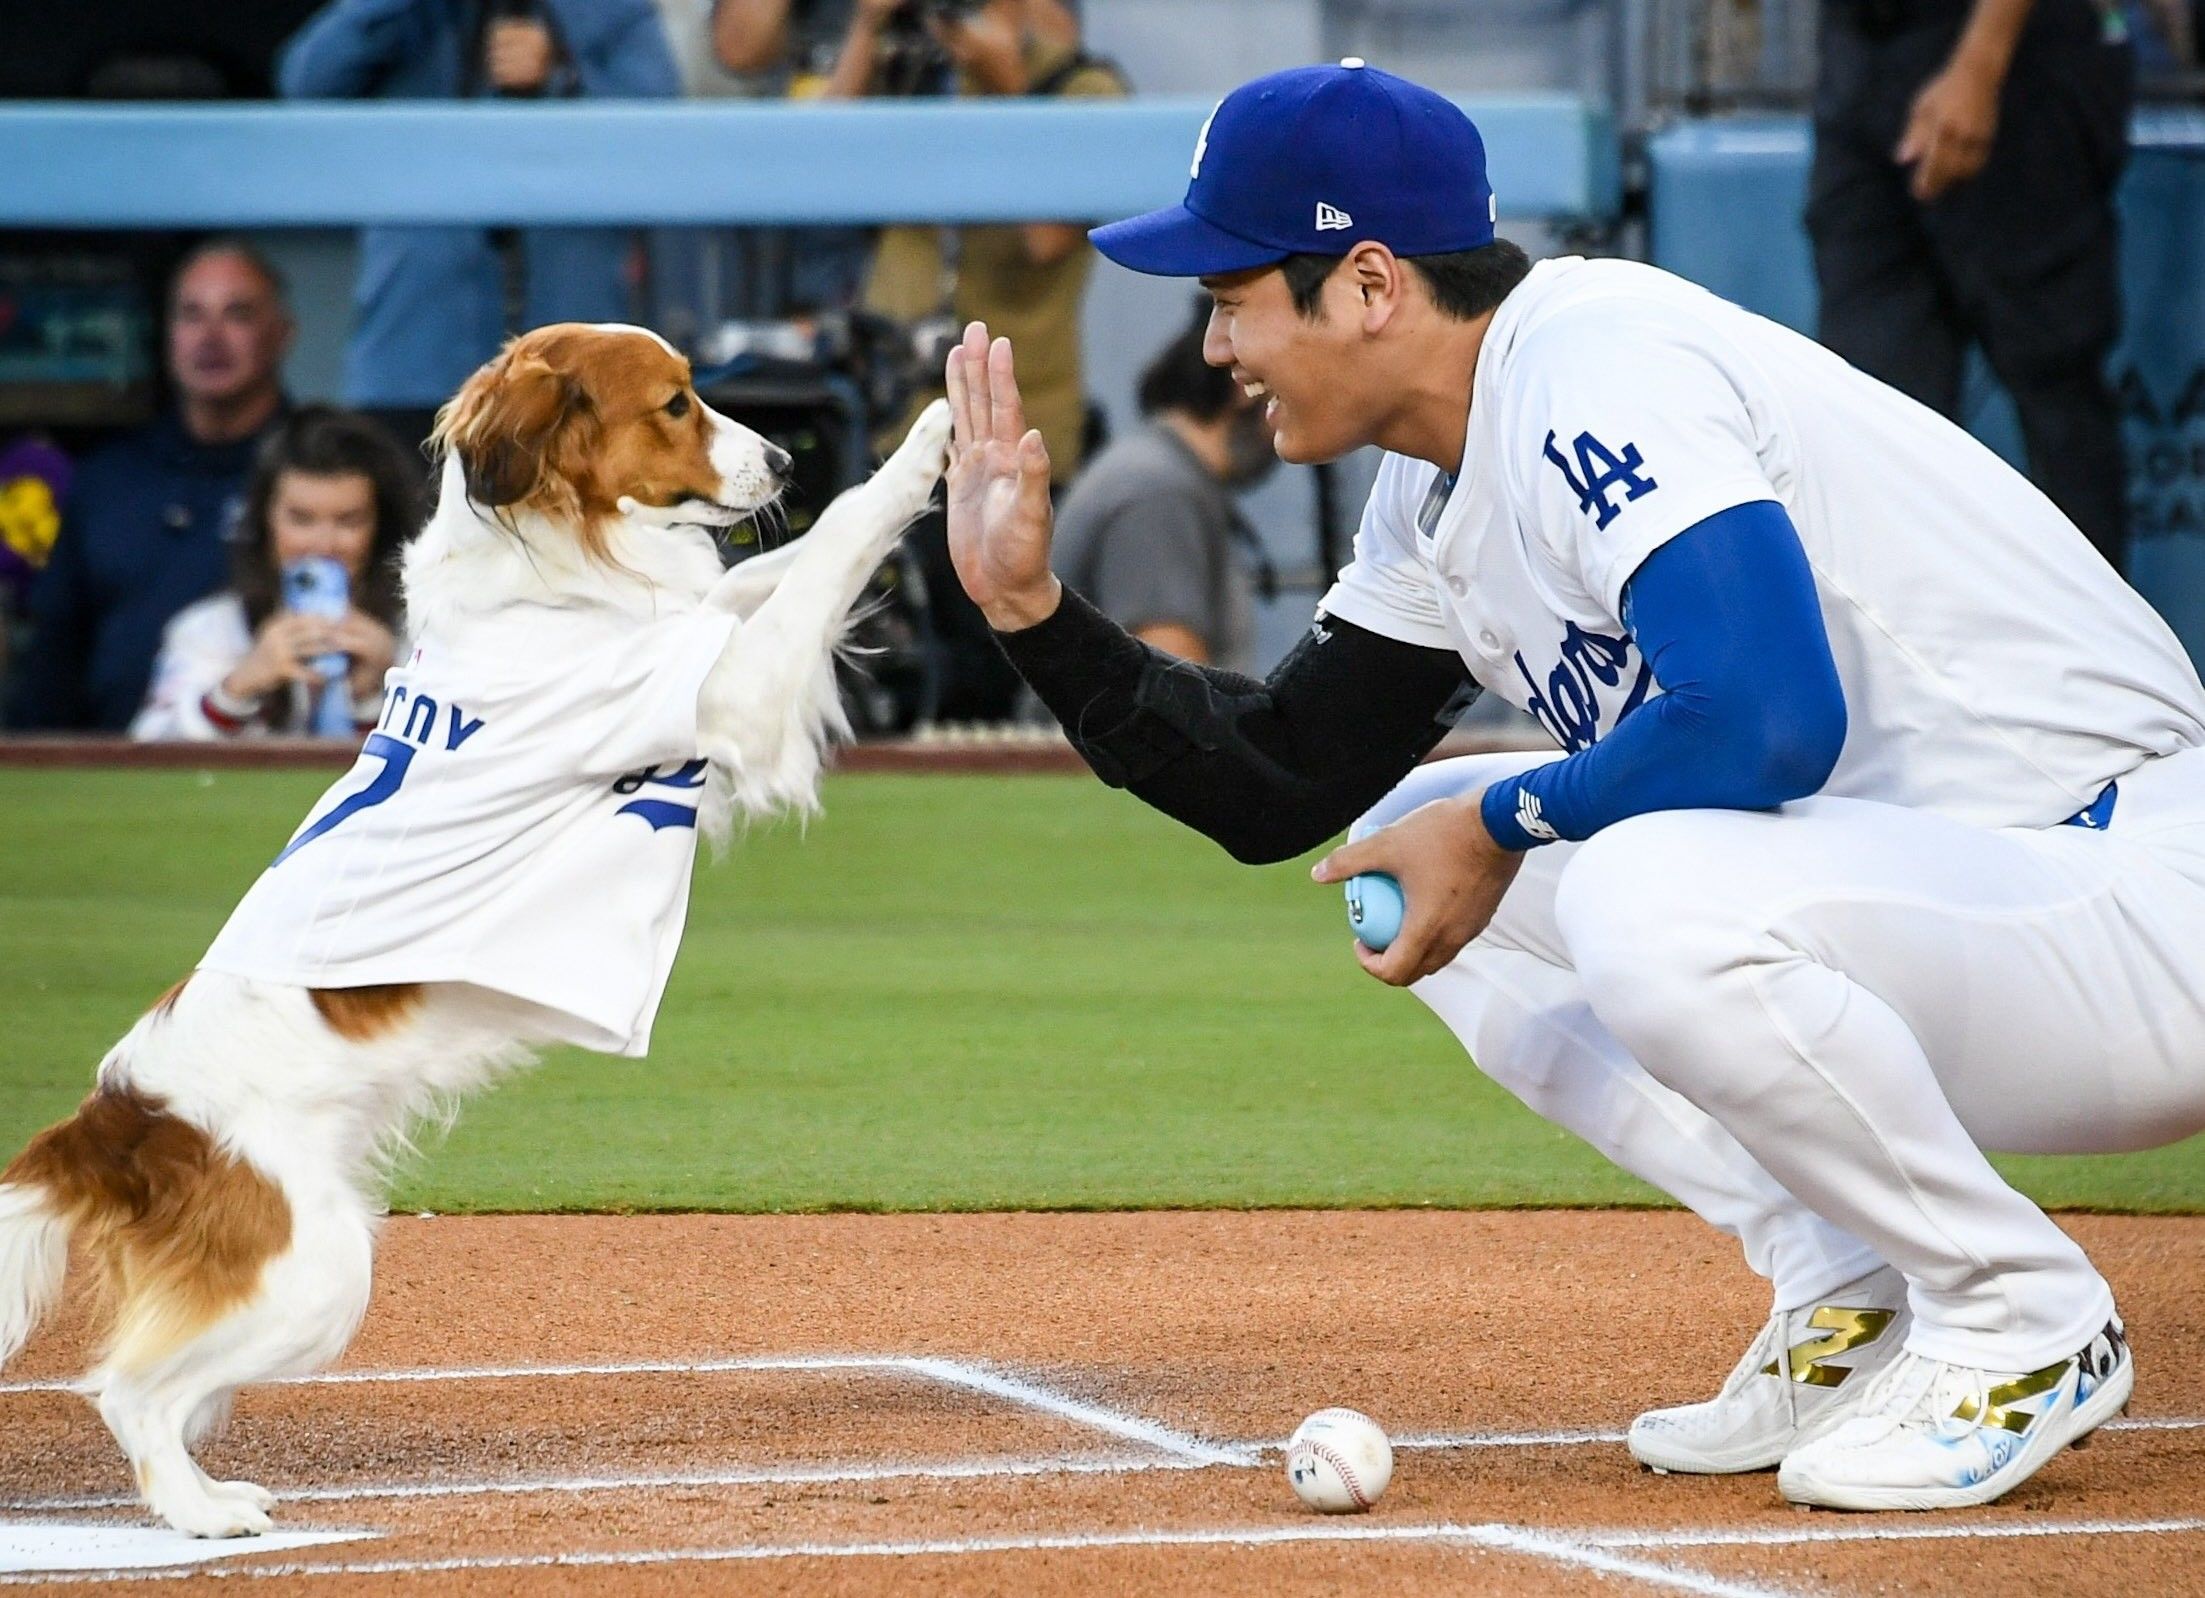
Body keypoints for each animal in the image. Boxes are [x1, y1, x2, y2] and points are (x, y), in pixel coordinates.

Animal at [0, 324, 943, 1534]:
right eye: (676, 404)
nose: (783, 459)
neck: (548, 573)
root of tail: (111, 1118)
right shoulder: (727, 690)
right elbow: (838, 540)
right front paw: (935, 440)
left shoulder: (699, 640)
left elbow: (772, 568)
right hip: (318, 1269)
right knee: (127, 1388)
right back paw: (203, 1515)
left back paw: (207, 1489)